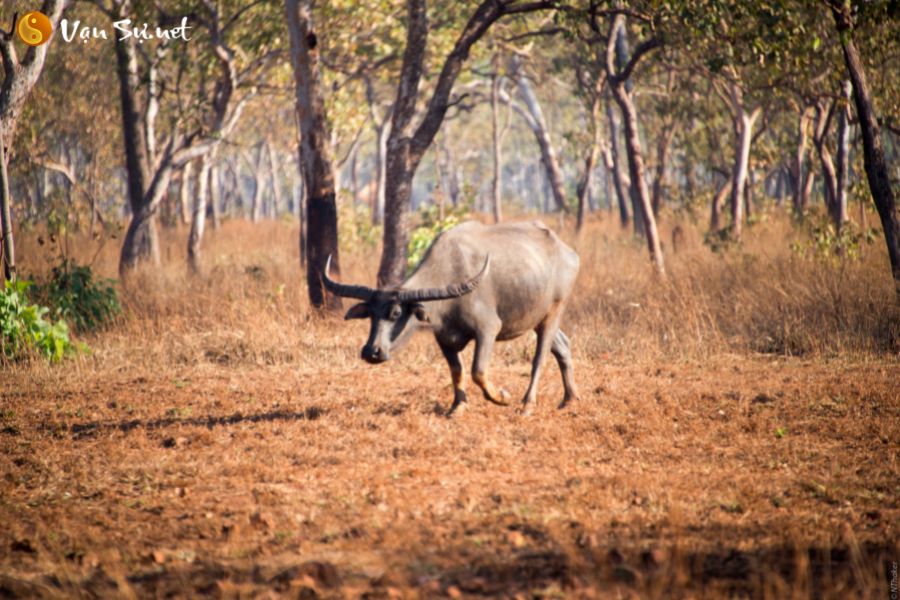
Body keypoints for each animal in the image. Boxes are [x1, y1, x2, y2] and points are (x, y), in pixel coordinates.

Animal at [320, 220, 580, 418]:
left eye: (396, 313)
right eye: (371, 314)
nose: (371, 351)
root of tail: (569, 253)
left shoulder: (488, 329)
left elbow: (478, 371)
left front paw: (502, 397)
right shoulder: (443, 338)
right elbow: (457, 371)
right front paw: (458, 407)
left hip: (555, 311)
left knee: (539, 358)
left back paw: (527, 405)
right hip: (538, 318)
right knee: (563, 346)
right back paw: (570, 399)